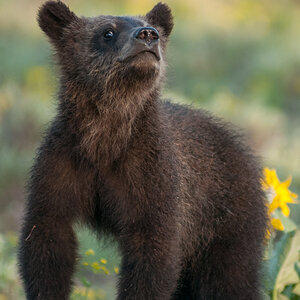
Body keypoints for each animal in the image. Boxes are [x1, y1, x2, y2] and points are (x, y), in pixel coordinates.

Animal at [18, 1, 268, 298]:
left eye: (150, 25)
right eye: (108, 32)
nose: (148, 35)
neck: (105, 138)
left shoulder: (151, 175)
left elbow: (153, 255)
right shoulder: (64, 164)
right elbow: (47, 235)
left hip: (229, 219)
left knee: (229, 278)